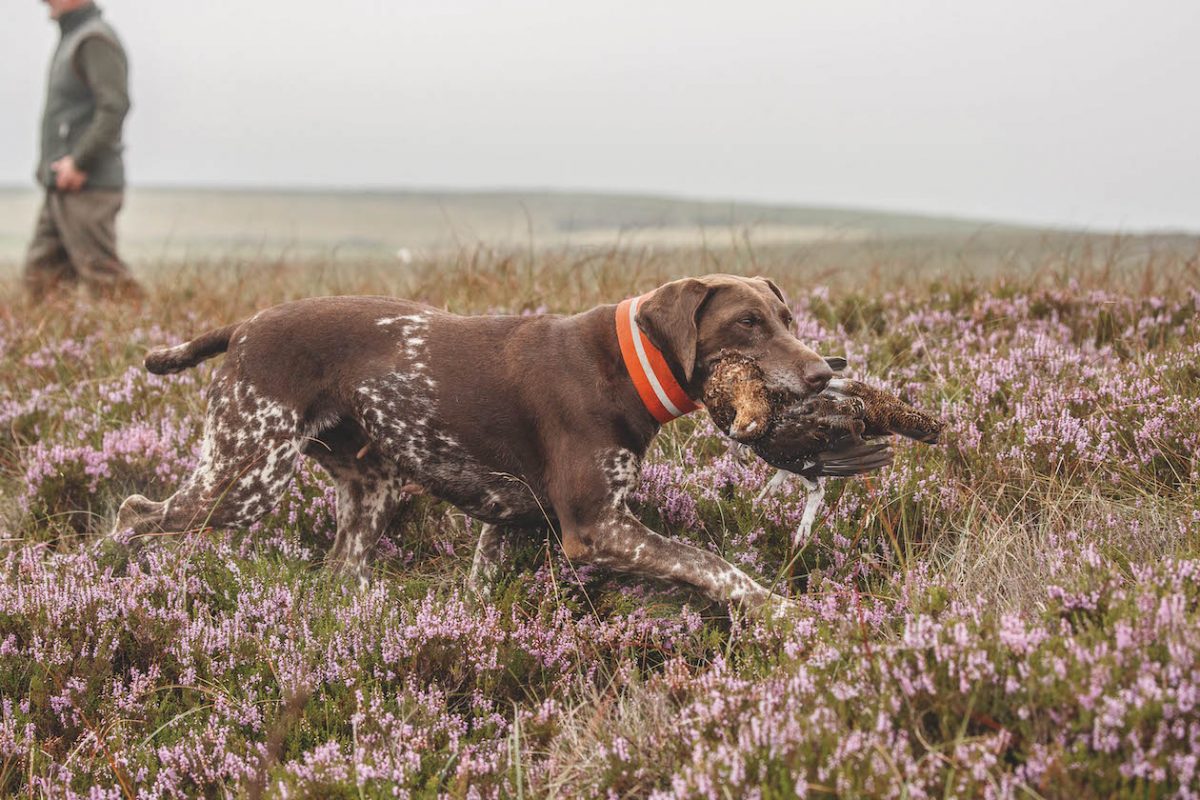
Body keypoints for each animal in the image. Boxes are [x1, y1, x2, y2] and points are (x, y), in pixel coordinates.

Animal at [114, 273, 835, 614]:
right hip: (245, 478)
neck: (624, 368)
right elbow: (709, 563)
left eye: (787, 318)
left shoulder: (505, 524)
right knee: (134, 513)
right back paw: (117, 579)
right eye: (747, 322)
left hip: (367, 491)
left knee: (338, 574)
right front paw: (777, 609)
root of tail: (242, 328)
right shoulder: (597, 527)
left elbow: (481, 590)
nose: (825, 373)